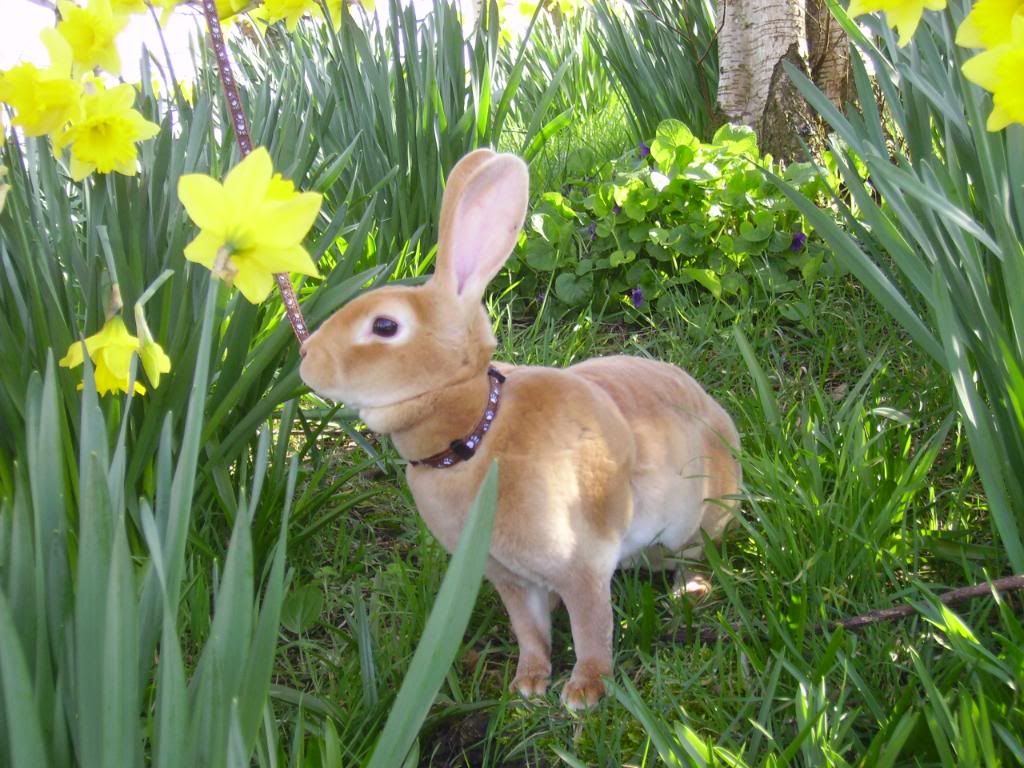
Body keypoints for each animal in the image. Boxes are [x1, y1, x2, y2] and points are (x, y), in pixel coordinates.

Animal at [299, 149, 741, 709]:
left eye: (384, 326)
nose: (306, 357)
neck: (474, 433)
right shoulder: (508, 578)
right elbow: (529, 630)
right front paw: (528, 685)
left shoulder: (583, 563)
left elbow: (592, 628)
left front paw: (583, 694)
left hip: (693, 524)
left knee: (697, 559)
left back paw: (692, 593)